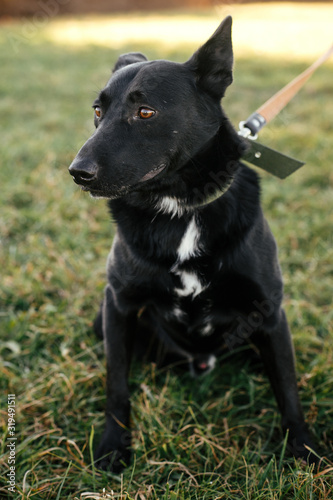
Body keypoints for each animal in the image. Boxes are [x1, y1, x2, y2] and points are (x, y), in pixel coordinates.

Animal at [68, 17, 318, 470]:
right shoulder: (119, 305)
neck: (180, 209)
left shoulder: (269, 312)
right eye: (98, 111)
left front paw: (304, 452)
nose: (77, 172)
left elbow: (288, 392)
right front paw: (113, 446)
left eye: (145, 111)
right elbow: (116, 385)